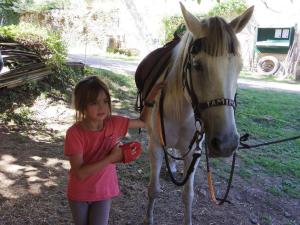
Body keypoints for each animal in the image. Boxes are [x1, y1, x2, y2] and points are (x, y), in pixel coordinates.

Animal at [143, 3, 253, 225]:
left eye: (239, 67)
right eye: (197, 66)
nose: (227, 144)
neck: (181, 111)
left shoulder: (194, 152)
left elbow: (188, 196)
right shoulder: (155, 146)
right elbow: (153, 190)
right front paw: (148, 219)